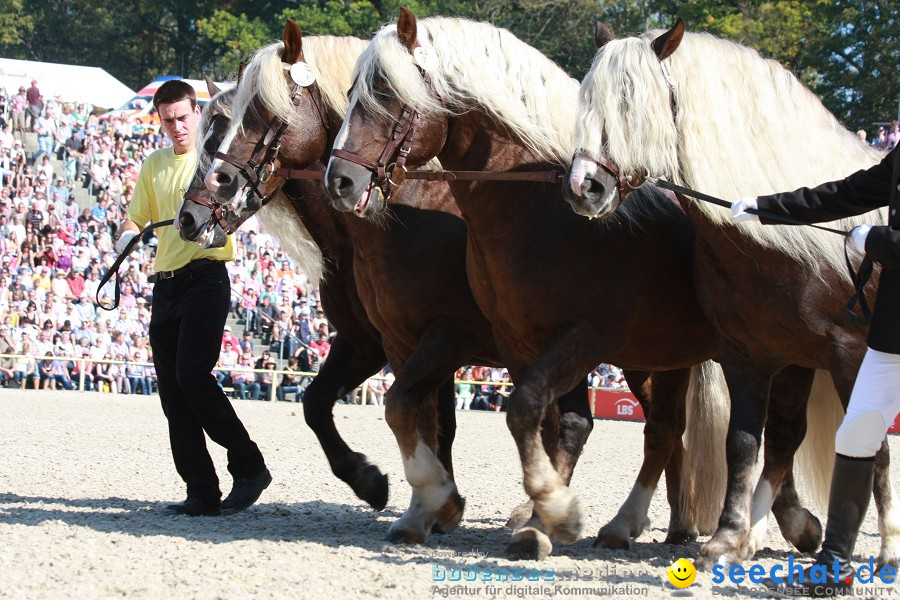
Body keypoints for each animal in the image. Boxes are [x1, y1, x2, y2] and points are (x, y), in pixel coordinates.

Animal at [185, 25, 596, 548]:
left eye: (260, 112)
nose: (191, 215)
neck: (406, 214)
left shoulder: (440, 338)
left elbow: (427, 419)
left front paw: (430, 500)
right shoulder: (372, 343)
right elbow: (326, 405)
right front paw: (386, 486)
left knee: (576, 424)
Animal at [564, 21, 900, 568]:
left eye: (633, 103)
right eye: (588, 100)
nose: (583, 187)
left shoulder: (853, 357)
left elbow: (876, 449)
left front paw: (890, 544)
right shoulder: (752, 356)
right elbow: (743, 444)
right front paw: (727, 537)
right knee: (783, 437)